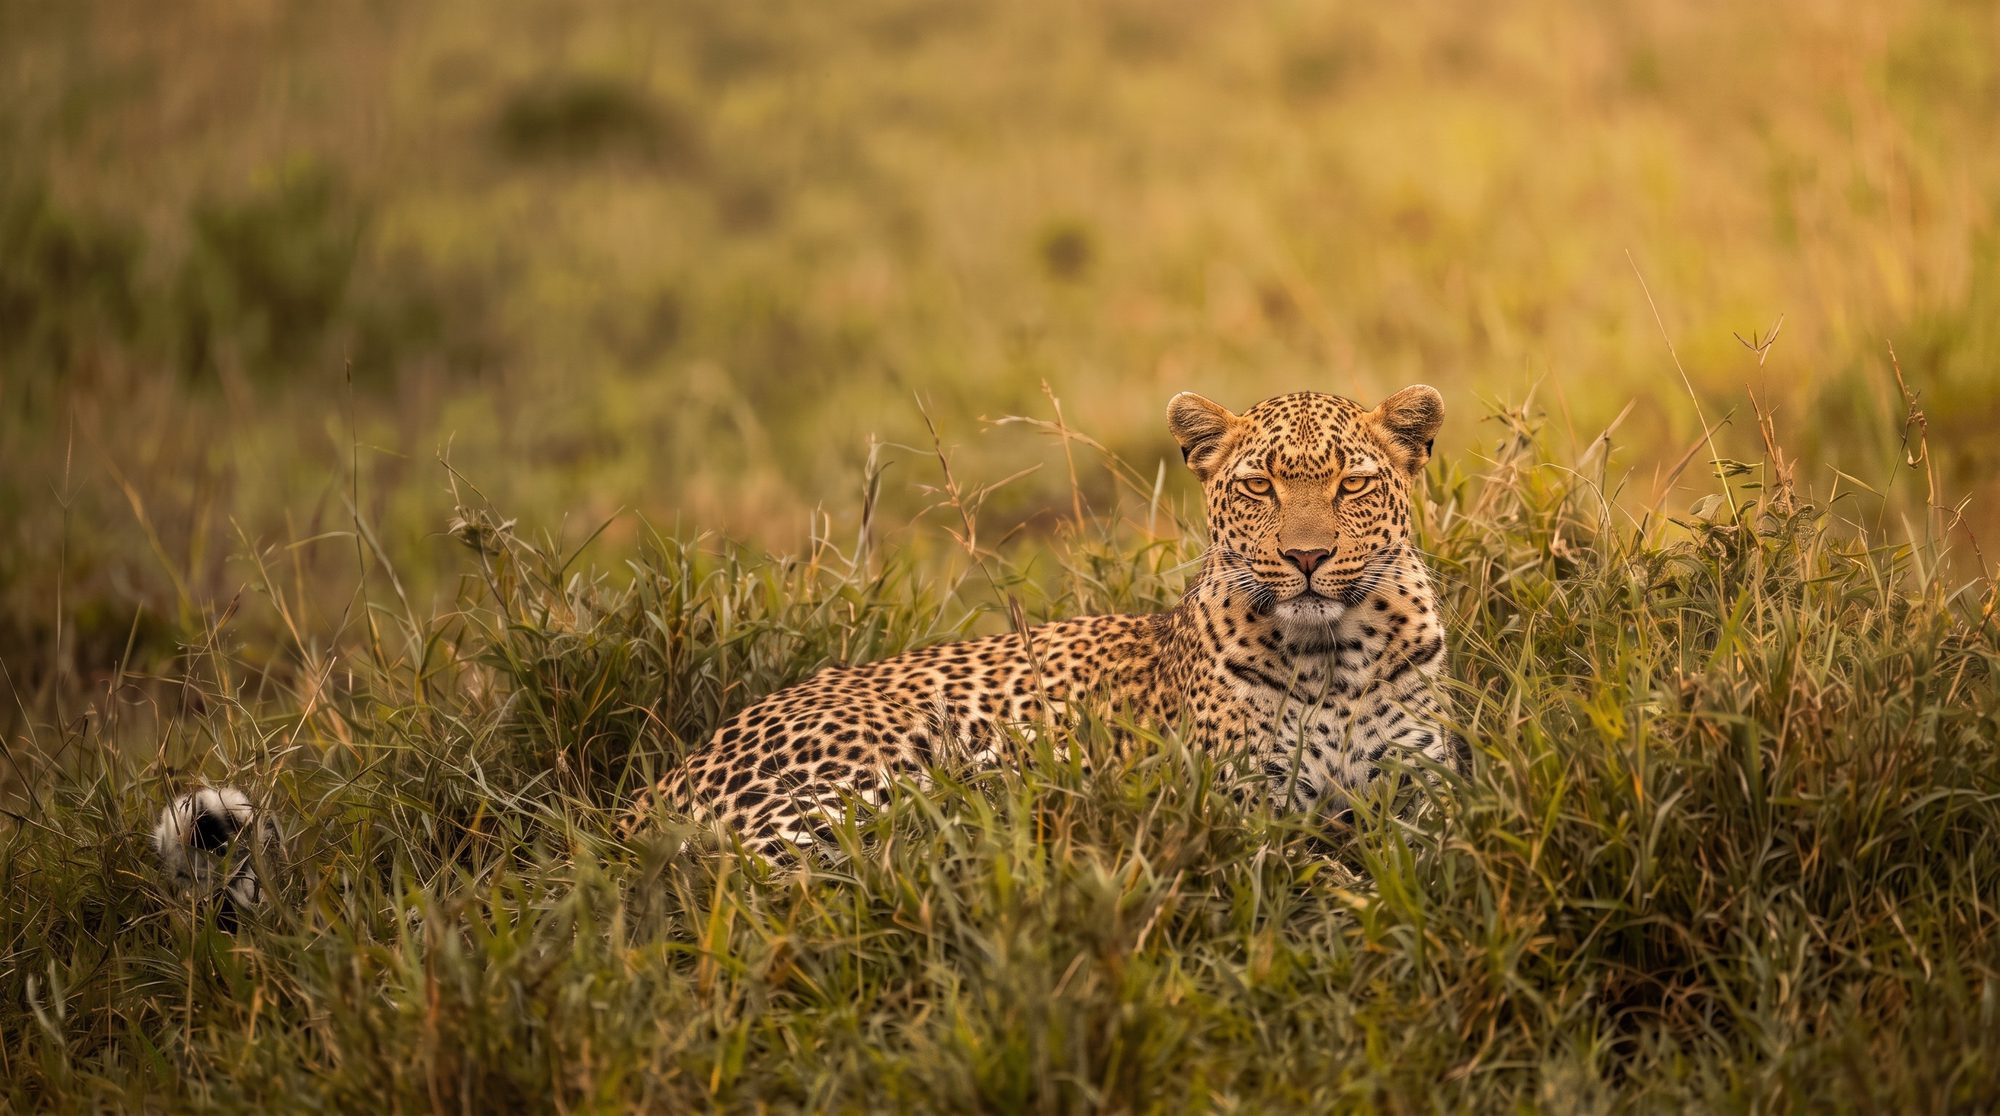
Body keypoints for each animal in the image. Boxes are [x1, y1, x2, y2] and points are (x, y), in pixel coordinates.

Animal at [626, 385, 1463, 856]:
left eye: (1352, 483)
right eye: (1259, 487)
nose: (1308, 556)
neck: (1333, 657)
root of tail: (661, 782)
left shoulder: (1428, 791)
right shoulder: (1249, 808)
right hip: (870, 778)